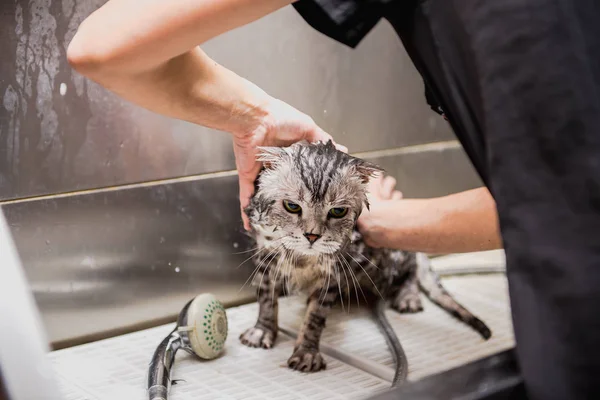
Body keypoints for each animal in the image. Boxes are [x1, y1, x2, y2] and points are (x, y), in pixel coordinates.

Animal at [237, 140, 490, 372]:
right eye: (292, 206)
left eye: (338, 211)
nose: (312, 236)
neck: (302, 258)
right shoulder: (265, 259)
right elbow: (267, 300)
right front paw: (263, 329)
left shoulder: (334, 272)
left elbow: (315, 317)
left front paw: (307, 351)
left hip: (390, 257)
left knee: (411, 270)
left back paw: (408, 296)